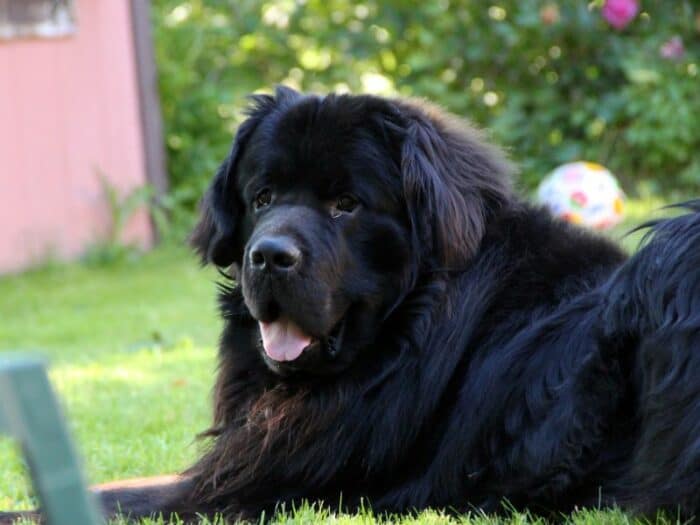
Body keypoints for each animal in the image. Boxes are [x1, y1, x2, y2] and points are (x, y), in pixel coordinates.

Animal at [4, 86, 700, 520]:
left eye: (347, 205)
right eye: (262, 197)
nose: (270, 255)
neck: (408, 338)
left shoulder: (271, 485)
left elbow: (124, 499)